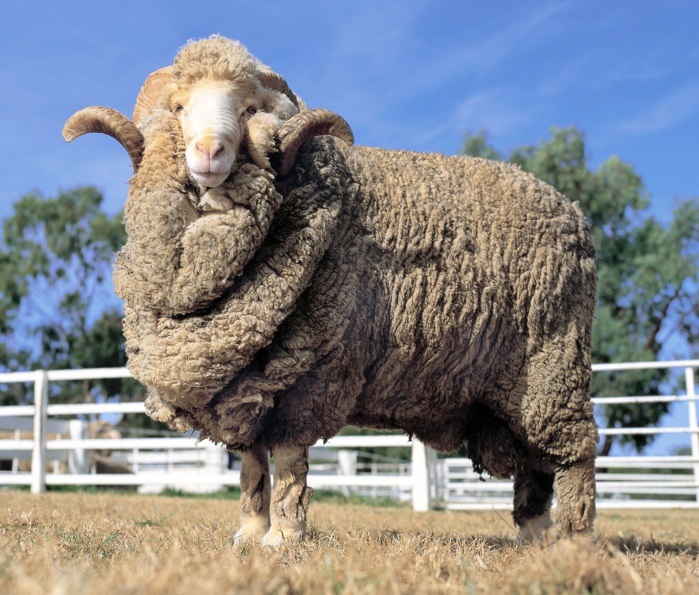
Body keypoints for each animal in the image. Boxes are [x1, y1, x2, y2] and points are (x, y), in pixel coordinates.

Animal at [63, 35, 598, 547]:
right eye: (177, 106)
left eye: (250, 108)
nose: (210, 152)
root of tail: (571, 210)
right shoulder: (245, 387)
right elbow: (252, 465)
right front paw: (248, 534)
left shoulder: (315, 374)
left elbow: (287, 459)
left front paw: (283, 537)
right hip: (514, 394)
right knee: (535, 465)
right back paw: (534, 537)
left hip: (554, 365)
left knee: (576, 452)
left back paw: (574, 540)